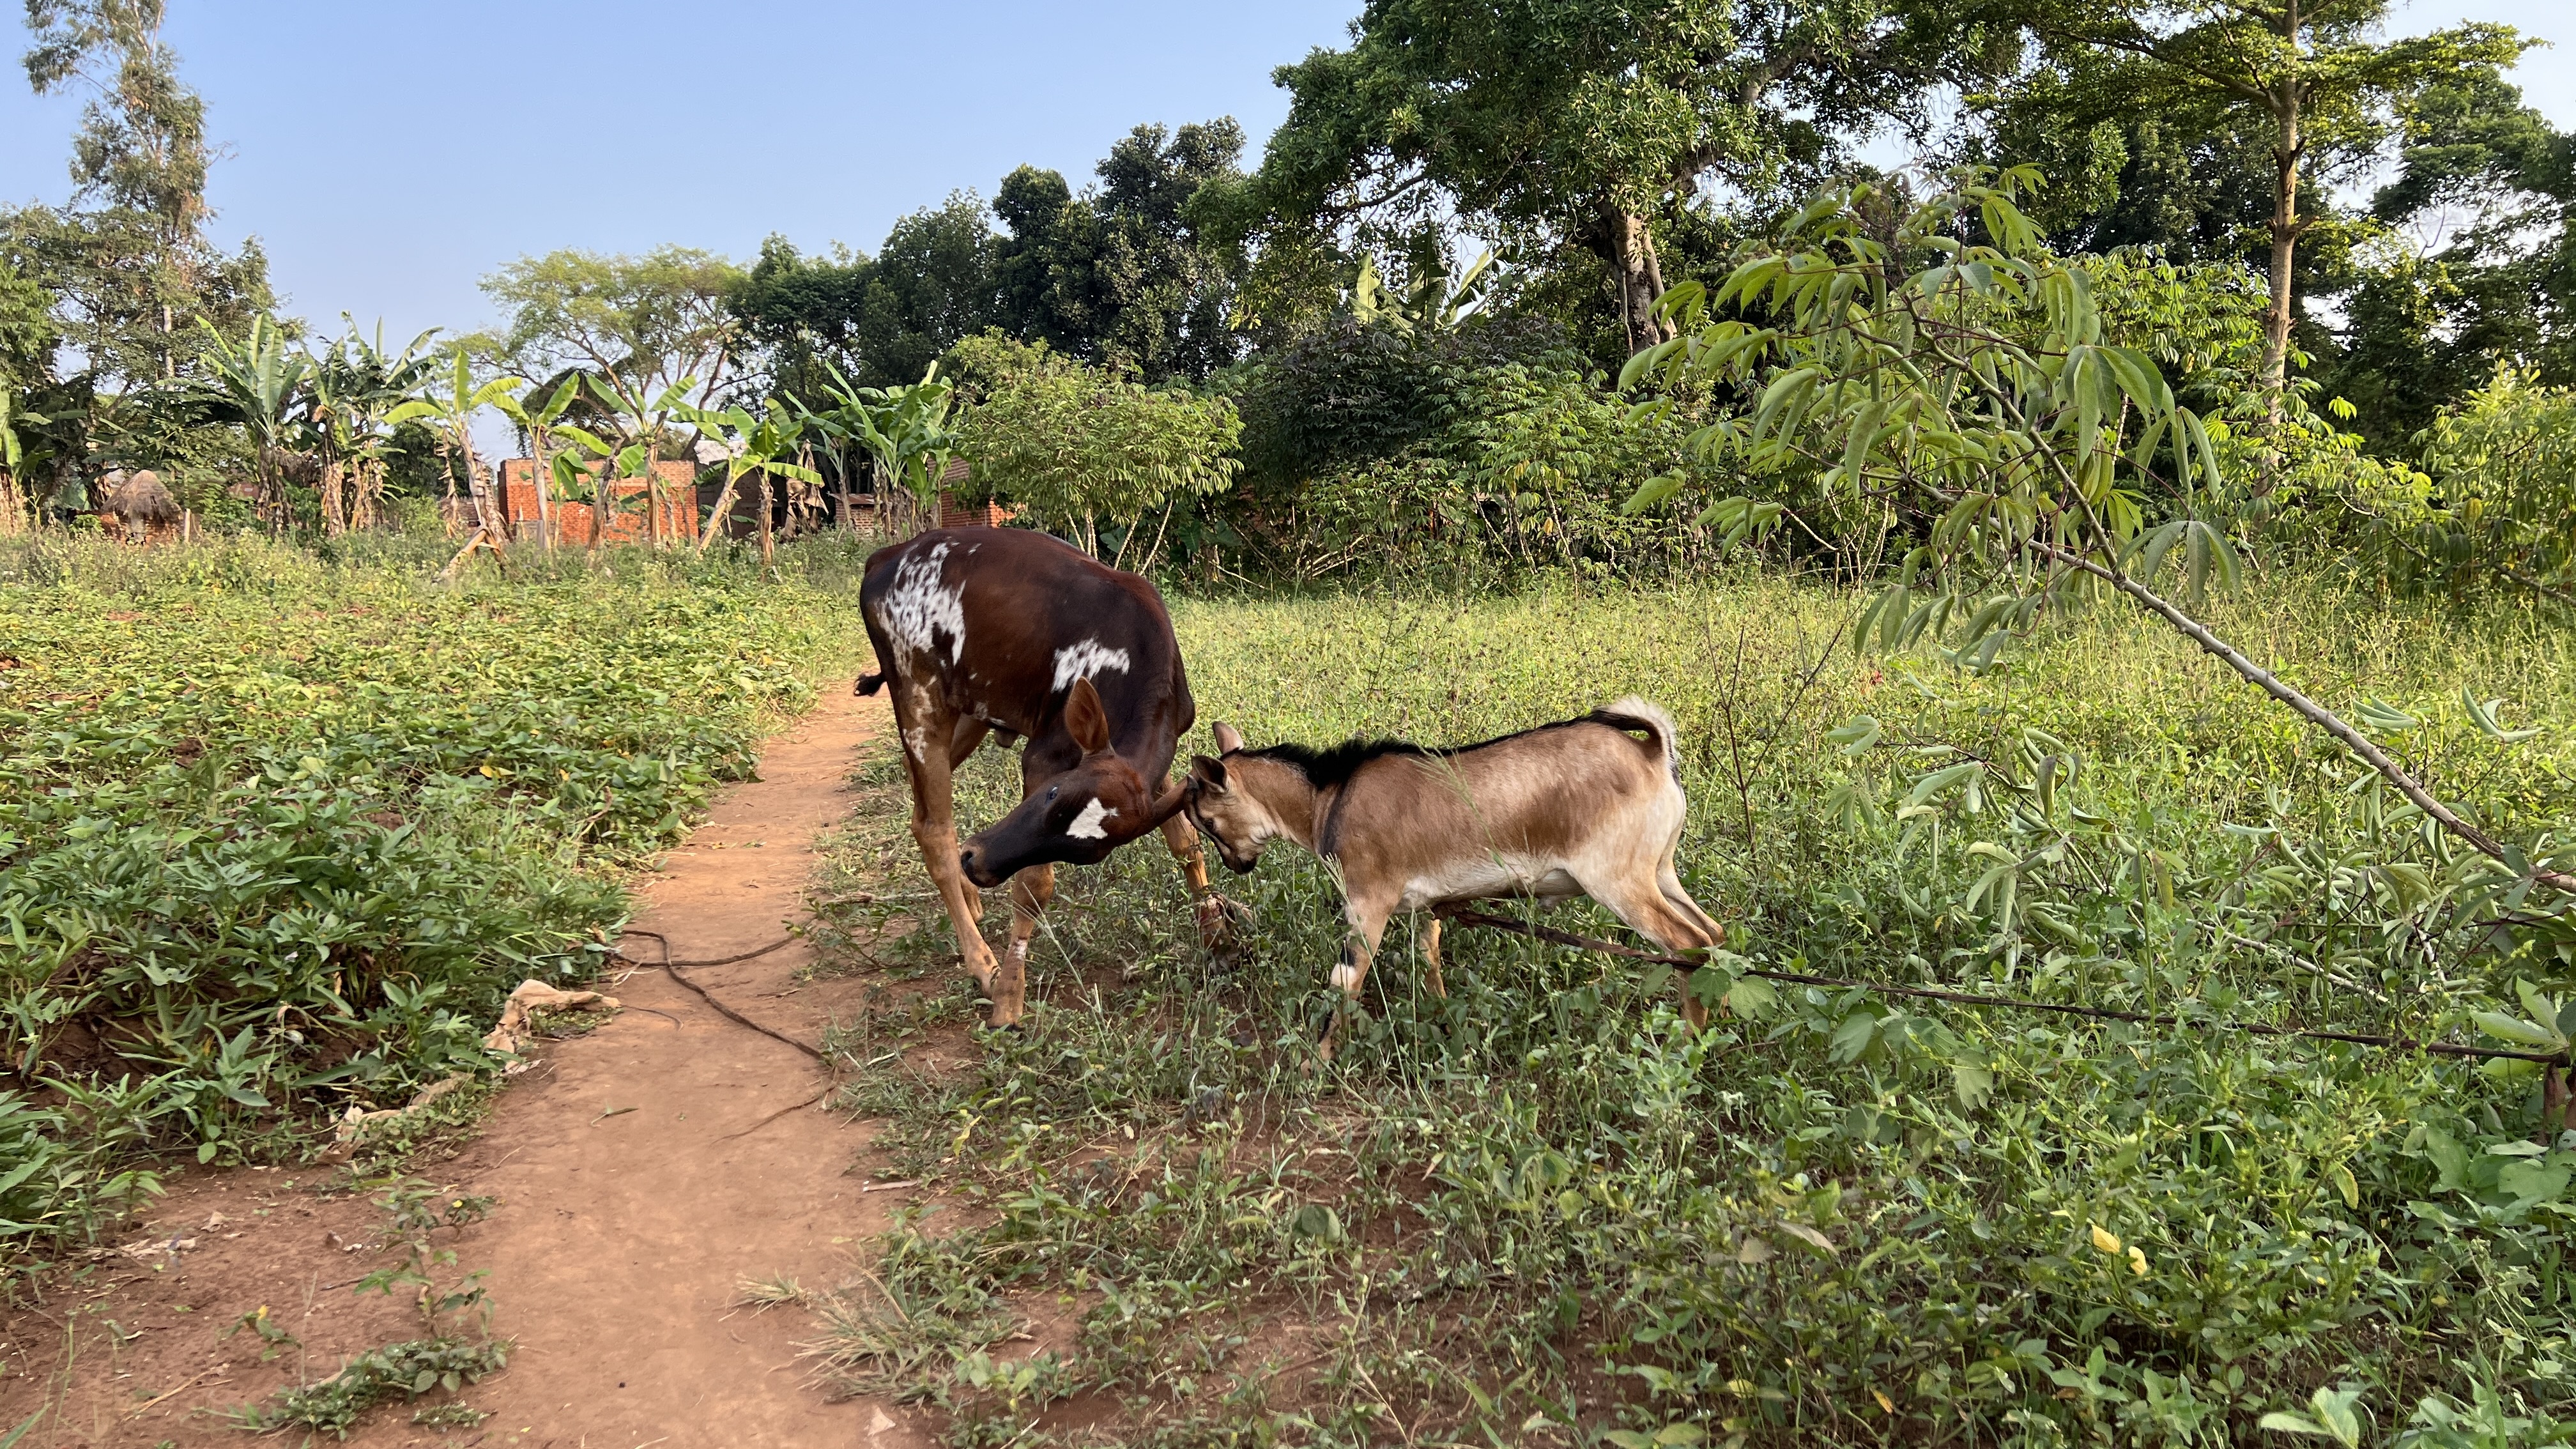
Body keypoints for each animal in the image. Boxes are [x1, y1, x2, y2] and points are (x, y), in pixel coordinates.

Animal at [856, 526, 1232, 1027]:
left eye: (1091, 854)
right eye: (1053, 794)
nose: (979, 862)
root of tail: (886, 556)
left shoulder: (1149, 770)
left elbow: (1186, 843)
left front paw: (1216, 933)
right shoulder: (1043, 757)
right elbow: (1035, 886)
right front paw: (1009, 993)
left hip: (970, 709)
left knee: (919, 811)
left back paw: (969, 900)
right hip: (919, 699)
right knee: (936, 827)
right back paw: (982, 961)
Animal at [1182, 698, 1723, 1059]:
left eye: (1205, 820)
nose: (1237, 865)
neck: (1328, 798)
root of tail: (1653, 756)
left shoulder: (1367, 902)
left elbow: (1345, 980)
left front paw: (1318, 1061)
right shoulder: (1426, 902)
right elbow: (1430, 957)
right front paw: (1443, 1017)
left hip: (1619, 879)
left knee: (1687, 943)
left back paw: (1690, 1047)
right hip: (1660, 870)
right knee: (1712, 933)